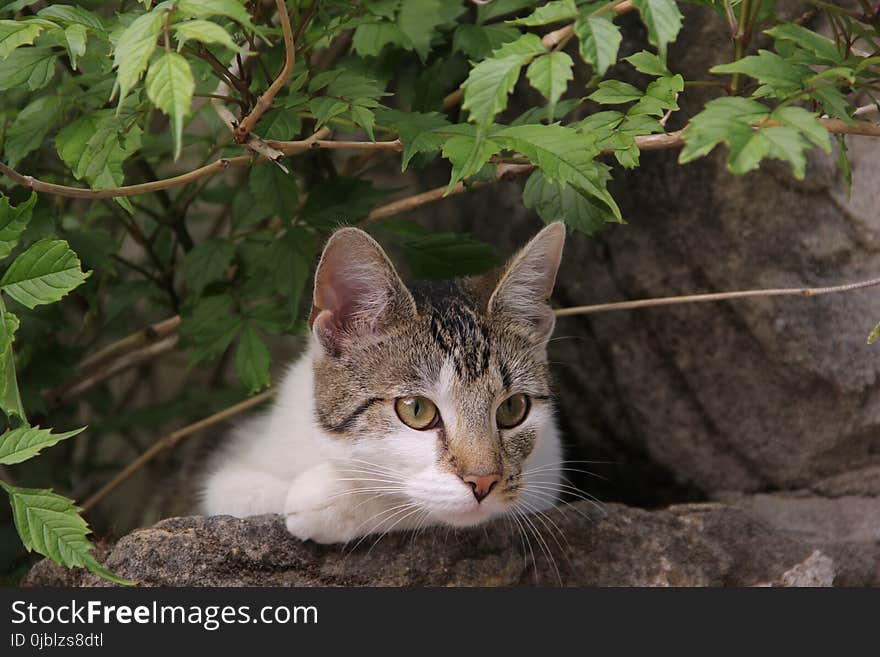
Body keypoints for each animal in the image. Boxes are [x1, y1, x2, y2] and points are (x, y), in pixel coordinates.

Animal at [199, 223, 564, 540]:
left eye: (513, 408)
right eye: (416, 410)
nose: (484, 481)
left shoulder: (549, 466)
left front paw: (331, 498)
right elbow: (238, 490)